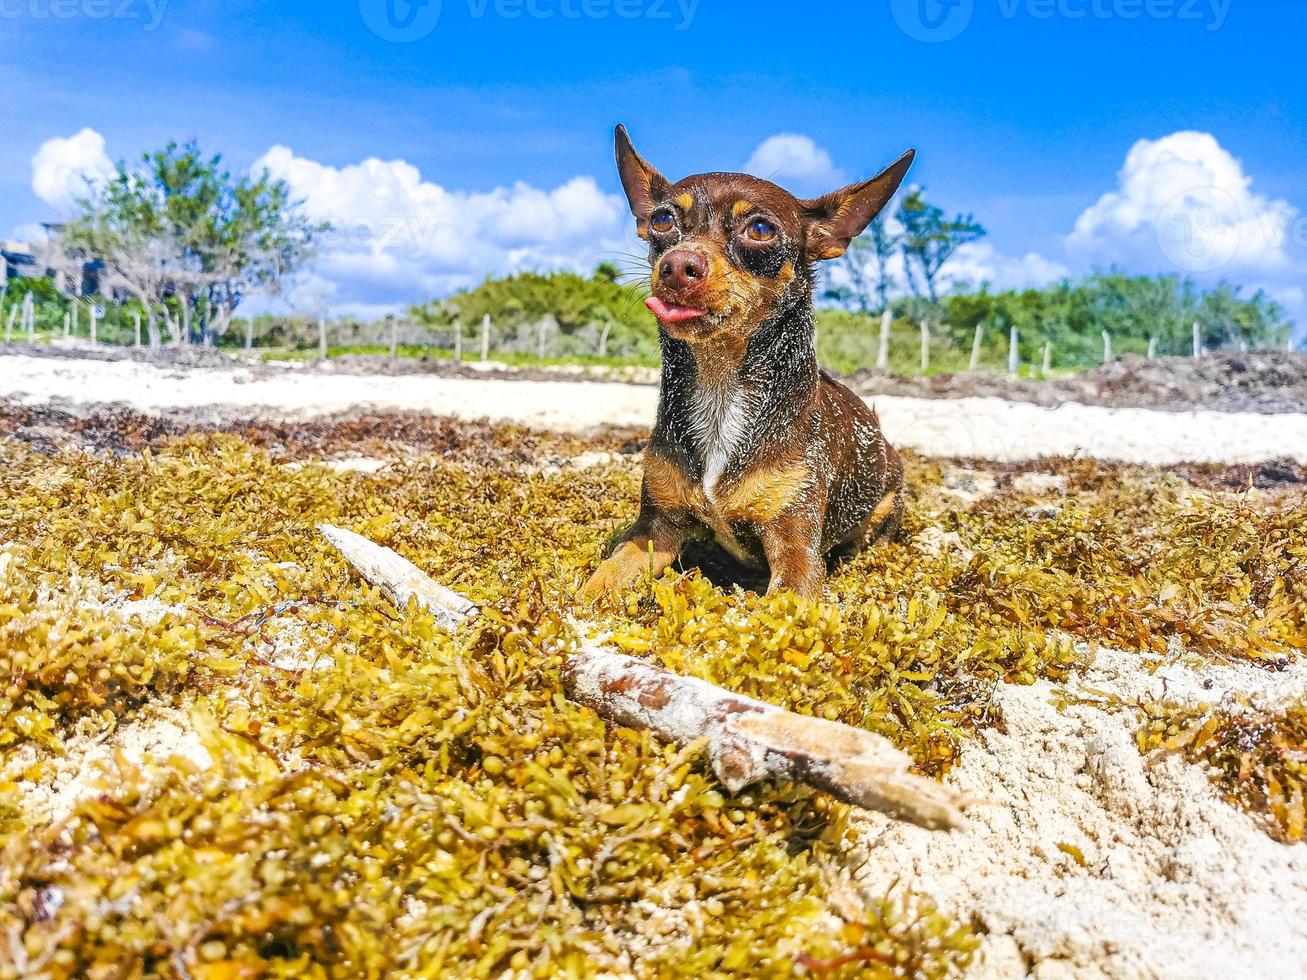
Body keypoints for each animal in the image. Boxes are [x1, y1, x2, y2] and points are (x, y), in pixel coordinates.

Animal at [588, 126, 914, 603]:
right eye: (663, 221)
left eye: (759, 229)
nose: (677, 264)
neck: (720, 388)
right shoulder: (654, 529)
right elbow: (606, 575)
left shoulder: (795, 550)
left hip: (887, 502)